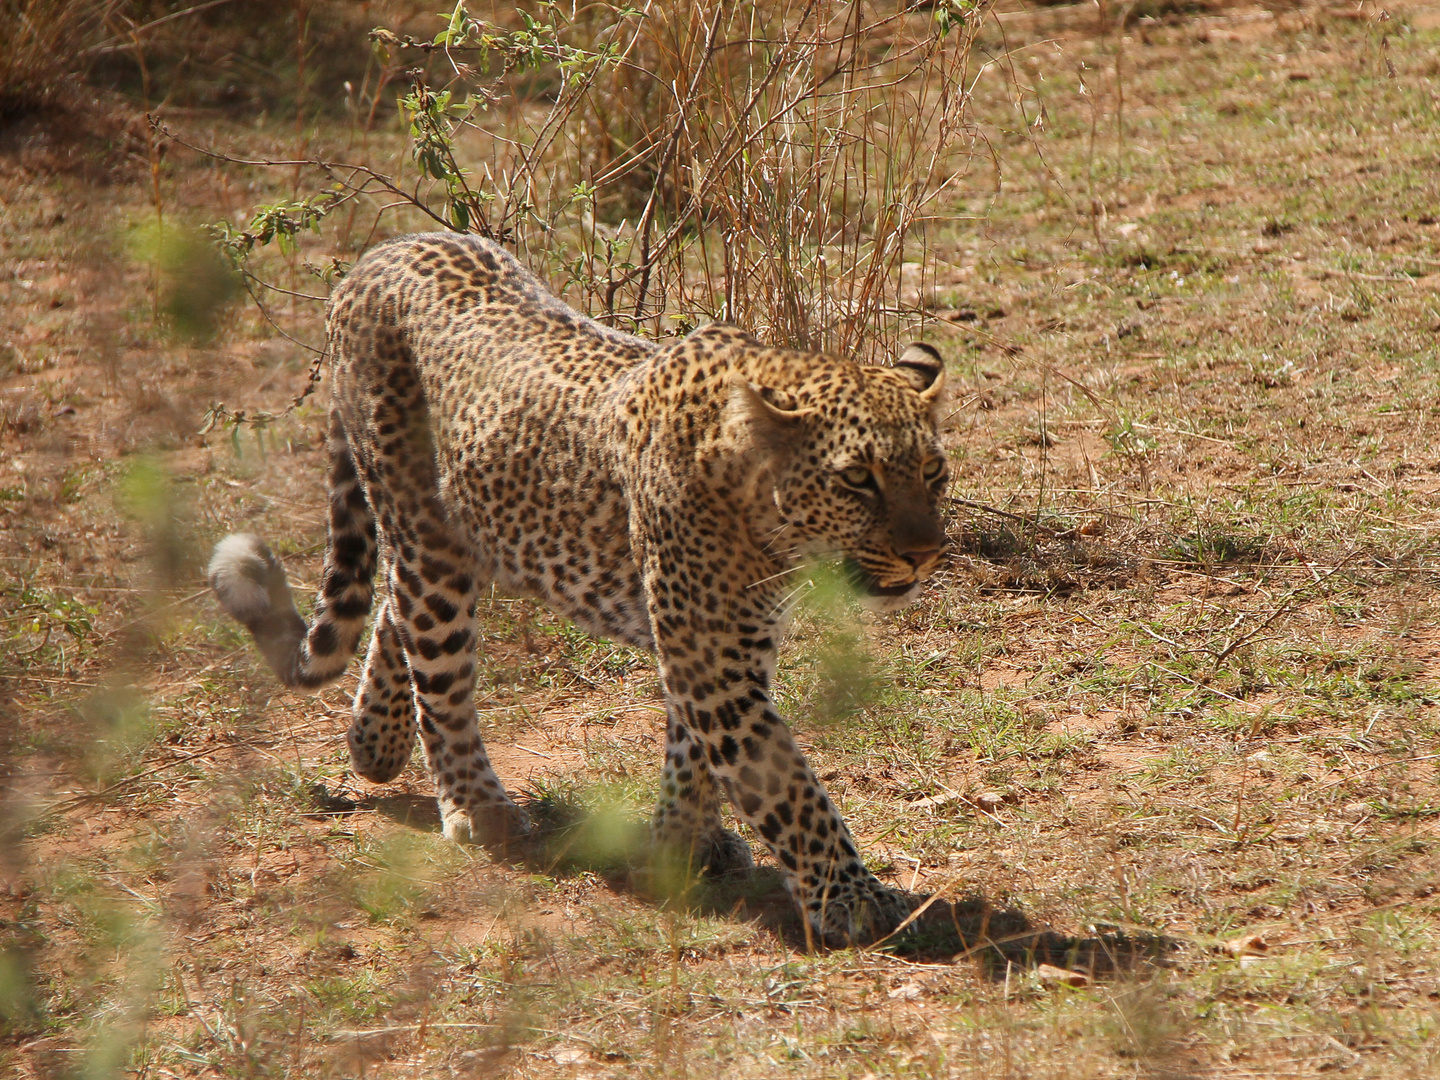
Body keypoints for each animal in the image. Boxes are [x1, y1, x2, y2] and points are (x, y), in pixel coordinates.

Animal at [208, 230, 950, 944]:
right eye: (857, 479)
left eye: (933, 473)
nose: (924, 555)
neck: (759, 507)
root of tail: (373, 257)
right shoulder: (709, 655)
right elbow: (788, 786)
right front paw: (856, 900)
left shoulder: (726, 645)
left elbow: (695, 755)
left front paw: (683, 843)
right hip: (423, 528)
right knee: (435, 663)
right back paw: (474, 804)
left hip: (464, 529)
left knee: (395, 607)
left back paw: (374, 744)